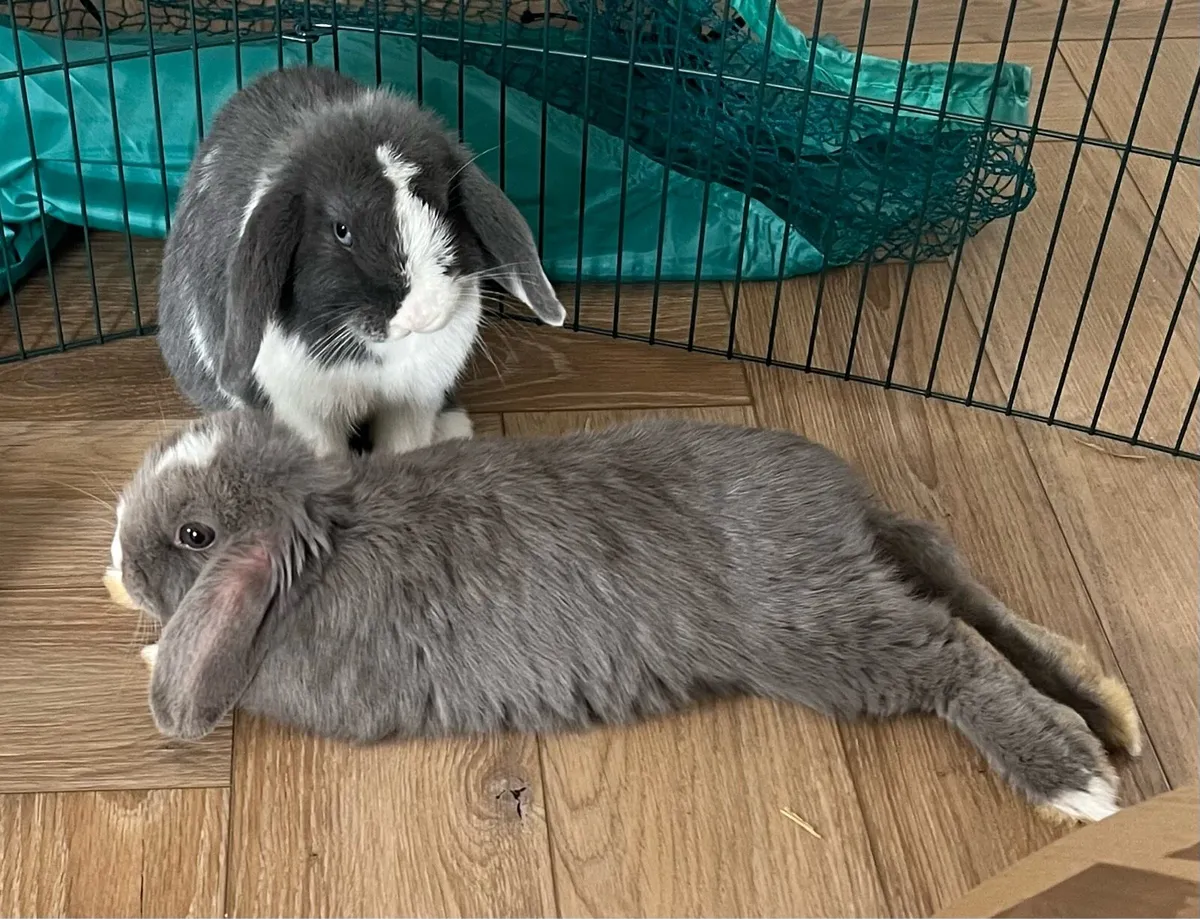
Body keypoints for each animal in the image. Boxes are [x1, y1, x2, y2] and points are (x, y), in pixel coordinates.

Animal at [105, 409, 1142, 824]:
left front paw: (151, 649)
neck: (315, 544)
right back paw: (1109, 711)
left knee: (948, 653)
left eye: (194, 534)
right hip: (872, 576)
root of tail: (841, 511)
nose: (111, 561)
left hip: (821, 635)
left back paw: (1073, 777)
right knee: (952, 582)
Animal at [157, 65, 565, 456]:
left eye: (443, 206)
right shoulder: (305, 412)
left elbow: (403, 445)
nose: (423, 313)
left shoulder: (415, 400)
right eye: (342, 230)